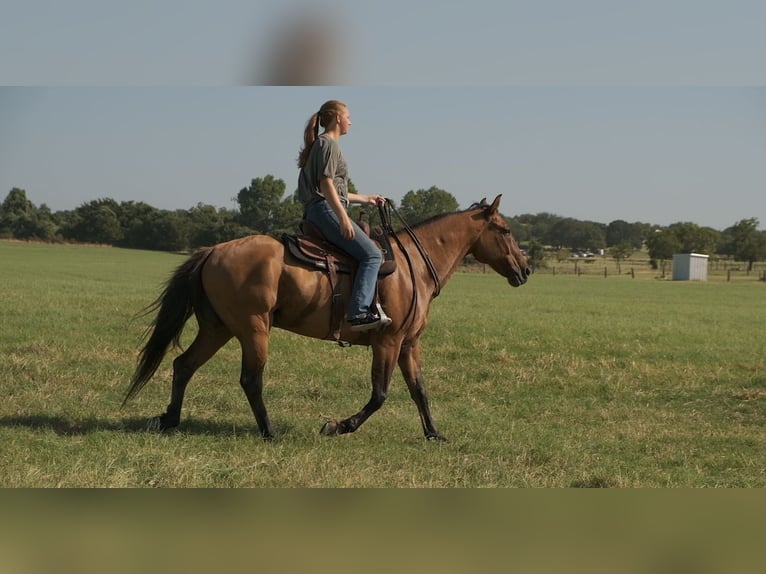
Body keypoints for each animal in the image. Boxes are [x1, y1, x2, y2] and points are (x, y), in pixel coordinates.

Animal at [124, 196, 536, 444]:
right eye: (506, 230)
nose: (527, 269)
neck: (412, 267)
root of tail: (212, 251)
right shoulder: (387, 342)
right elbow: (380, 394)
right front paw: (338, 426)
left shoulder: (408, 344)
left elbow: (419, 389)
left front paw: (434, 434)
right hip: (253, 329)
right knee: (251, 380)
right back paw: (270, 431)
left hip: (218, 328)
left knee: (183, 365)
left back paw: (169, 419)